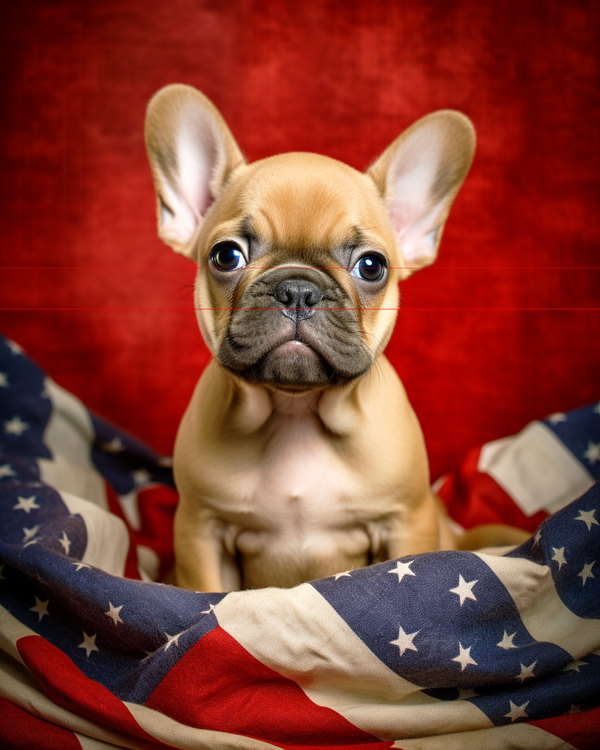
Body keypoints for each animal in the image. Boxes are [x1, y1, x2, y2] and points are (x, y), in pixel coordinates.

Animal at [145, 85, 524, 592]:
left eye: (371, 266)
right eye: (226, 256)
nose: (298, 290)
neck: (296, 412)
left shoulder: (408, 521)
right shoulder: (200, 529)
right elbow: (207, 589)